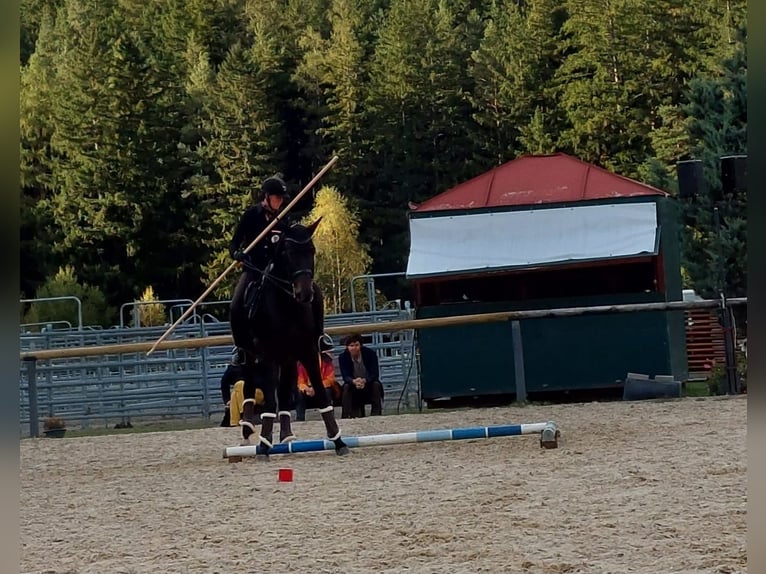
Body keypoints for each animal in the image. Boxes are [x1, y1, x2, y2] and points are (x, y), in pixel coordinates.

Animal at [237, 220, 352, 460]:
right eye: (288, 253)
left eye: (311, 251)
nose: (304, 294)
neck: (287, 306)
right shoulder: (268, 356)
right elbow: (269, 400)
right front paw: (263, 445)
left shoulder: (307, 351)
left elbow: (321, 396)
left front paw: (338, 441)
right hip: (249, 355)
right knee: (250, 385)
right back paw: (248, 430)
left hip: (288, 358)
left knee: (283, 393)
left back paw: (287, 435)